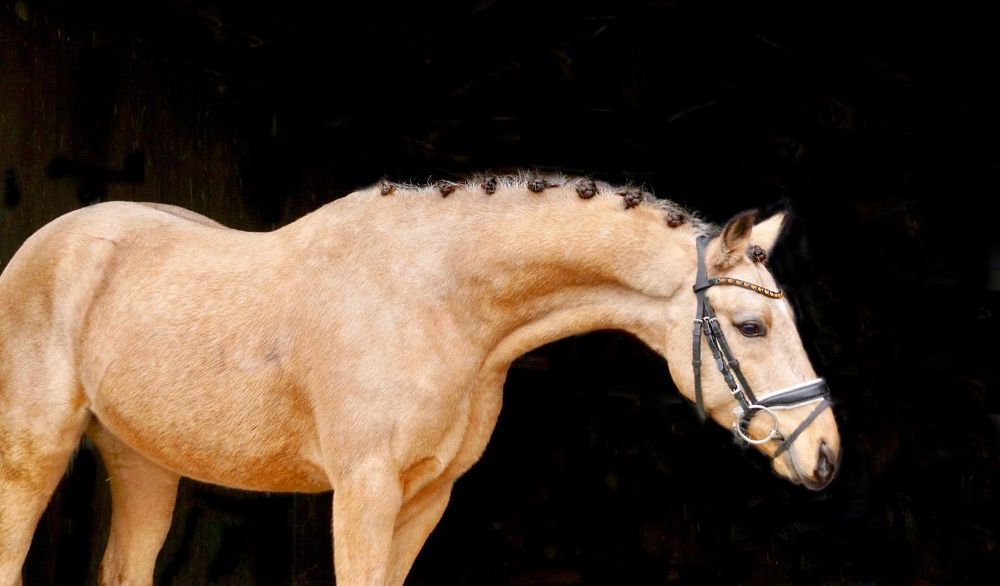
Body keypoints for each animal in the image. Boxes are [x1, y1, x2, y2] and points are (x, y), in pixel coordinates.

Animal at [0, 173, 840, 585]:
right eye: (752, 326)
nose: (825, 453)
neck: (438, 296)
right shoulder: (363, 492)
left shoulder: (427, 496)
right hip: (34, 453)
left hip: (143, 462)